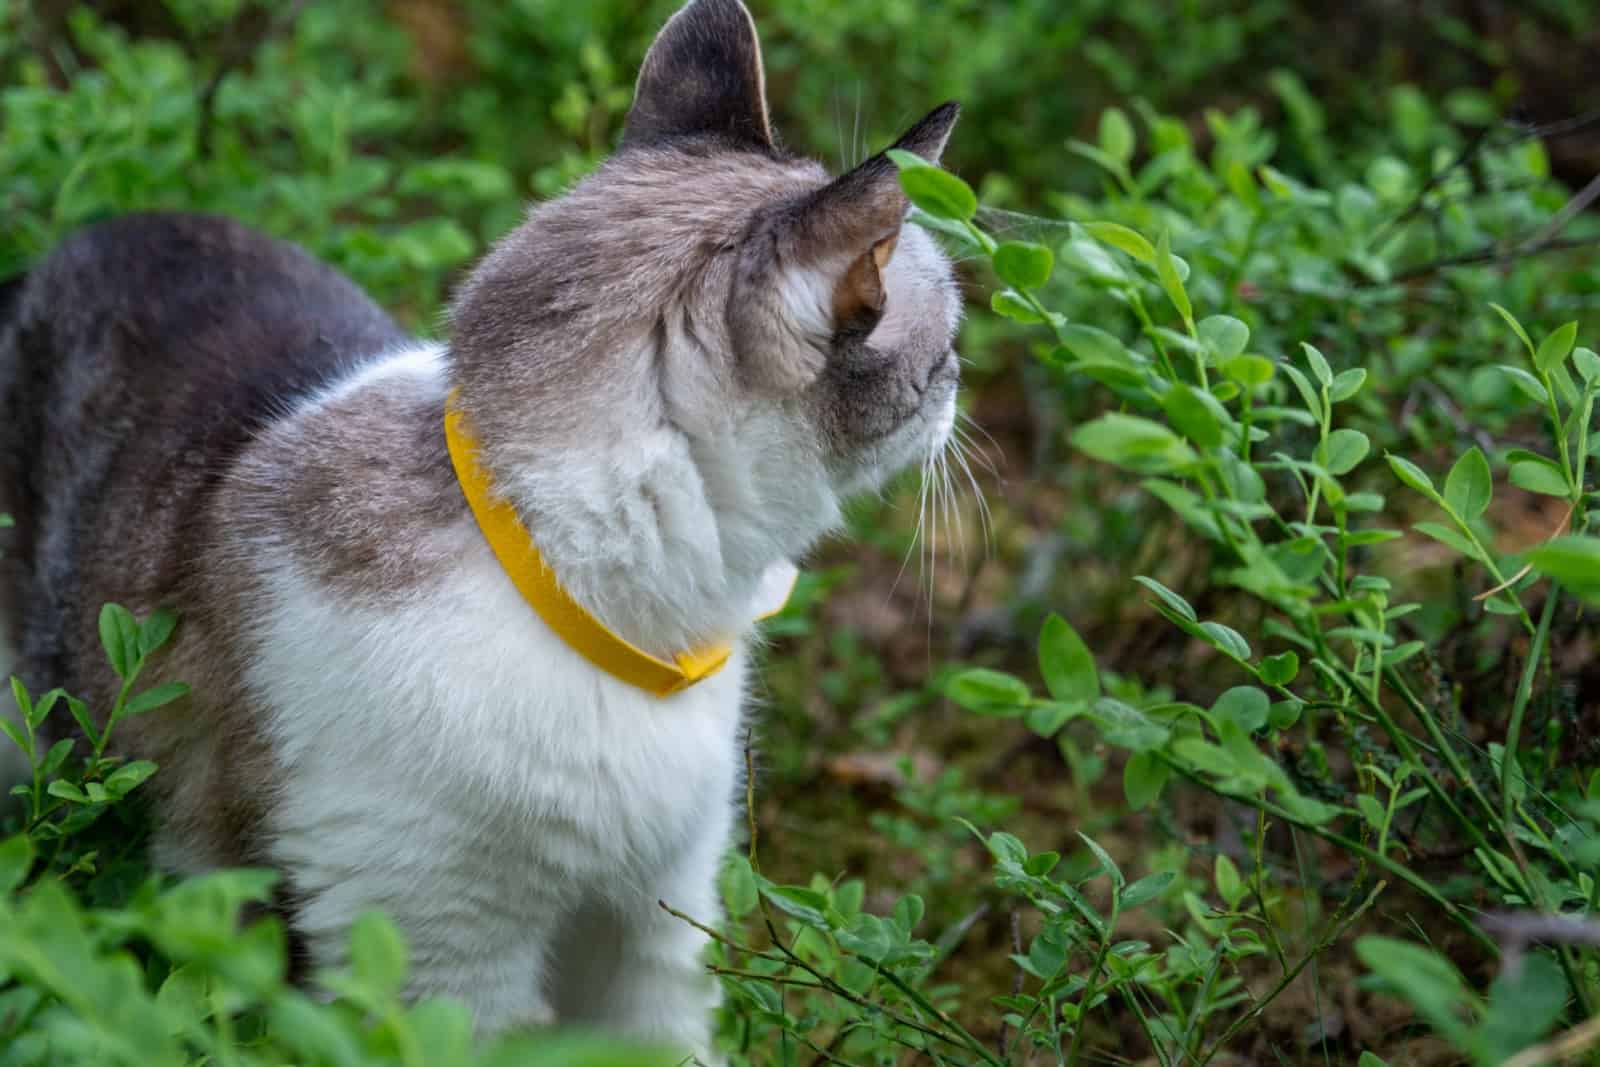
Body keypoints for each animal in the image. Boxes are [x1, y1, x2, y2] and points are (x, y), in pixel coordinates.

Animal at [0, 0, 960, 1055]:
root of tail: (75, 242)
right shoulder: (440, 956)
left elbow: (663, 1034)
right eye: (947, 348)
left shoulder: (656, 916)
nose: (965, 385)